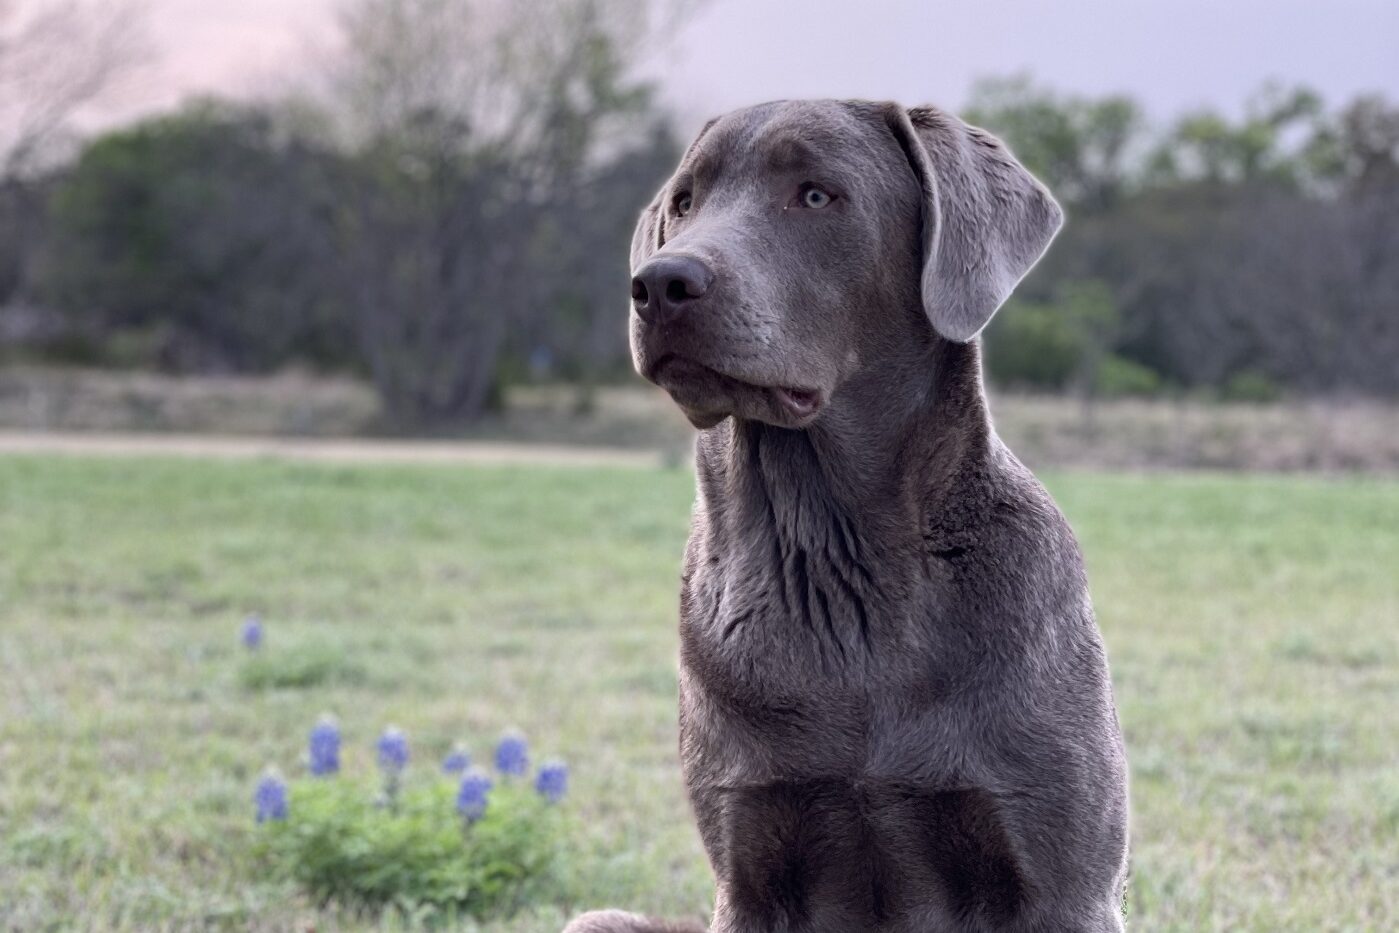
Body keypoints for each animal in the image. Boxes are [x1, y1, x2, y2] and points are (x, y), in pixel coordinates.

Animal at [562, 100, 1130, 933]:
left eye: (816, 195)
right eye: (685, 201)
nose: (660, 282)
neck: (831, 555)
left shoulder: (1064, 881)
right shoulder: (748, 868)